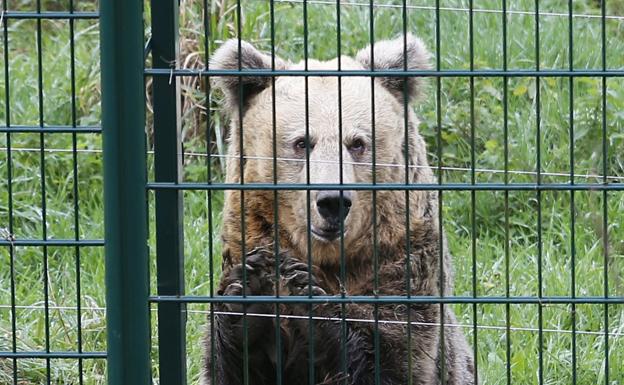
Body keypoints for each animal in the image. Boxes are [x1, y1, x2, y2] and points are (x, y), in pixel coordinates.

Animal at [202, 34, 476, 382]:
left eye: (357, 143)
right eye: (302, 142)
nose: (332, 200)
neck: (327, 256)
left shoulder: (401, 262)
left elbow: (394, 355)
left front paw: (310, 296)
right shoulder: (247, 237)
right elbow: (235, 365)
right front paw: (248, 292)